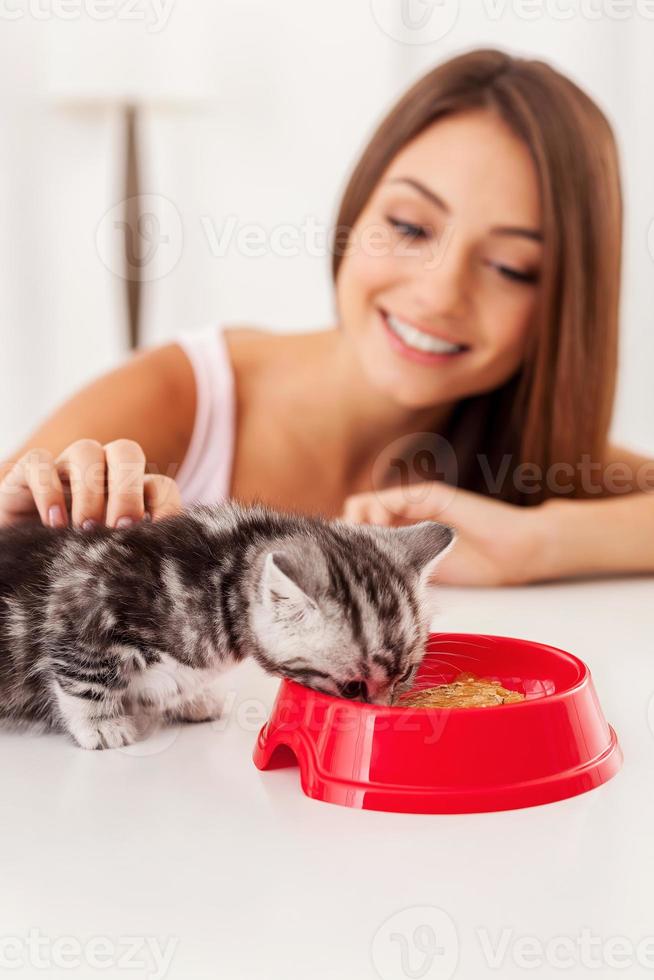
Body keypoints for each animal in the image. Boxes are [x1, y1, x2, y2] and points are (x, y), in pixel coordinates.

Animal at [0, 506, 456, 752]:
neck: (223, 577)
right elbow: (83, 676)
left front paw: (190, 698)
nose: (382, 712)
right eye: (352, 688)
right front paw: (101, 724)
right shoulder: (81, 609)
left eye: (405, 675)